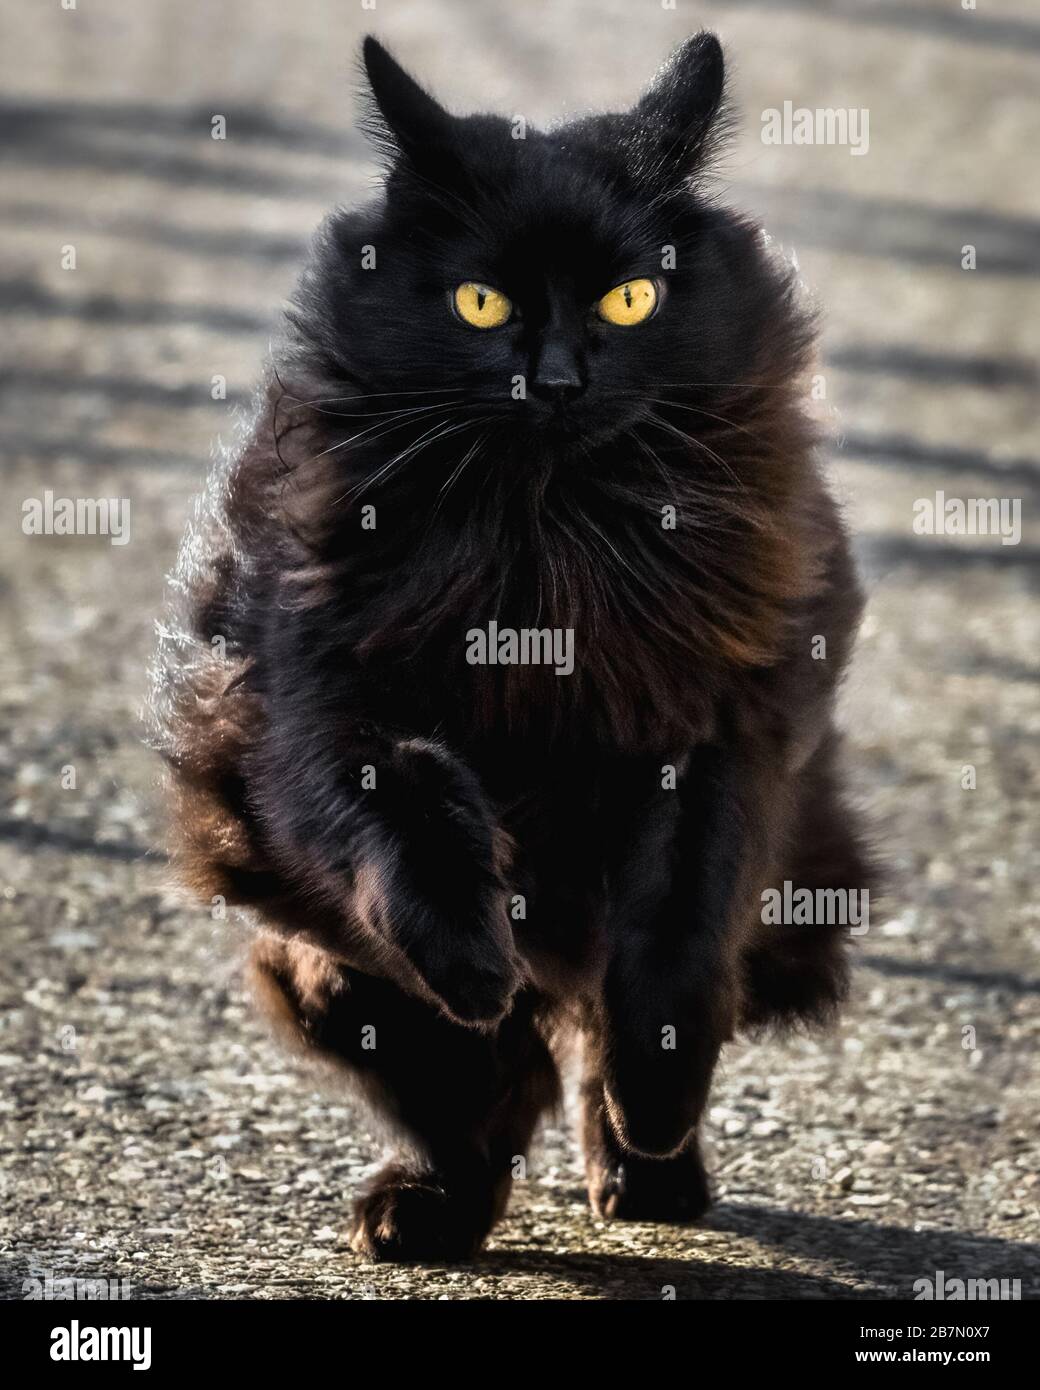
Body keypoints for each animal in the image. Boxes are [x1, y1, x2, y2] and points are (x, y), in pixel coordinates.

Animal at [152, 29, 867, 1262]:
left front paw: (653, 1106)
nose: (561, 380)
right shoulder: (311, 704)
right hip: (311, 961)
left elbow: (675, 944)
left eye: (631, 297)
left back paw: (647, 1170)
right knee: (480, 1092)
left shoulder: (726, 731)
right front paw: (474, 958)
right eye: (481, 303)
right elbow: (403, 807)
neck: (547, 543)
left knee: (577, 1045)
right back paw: (427, 1203)